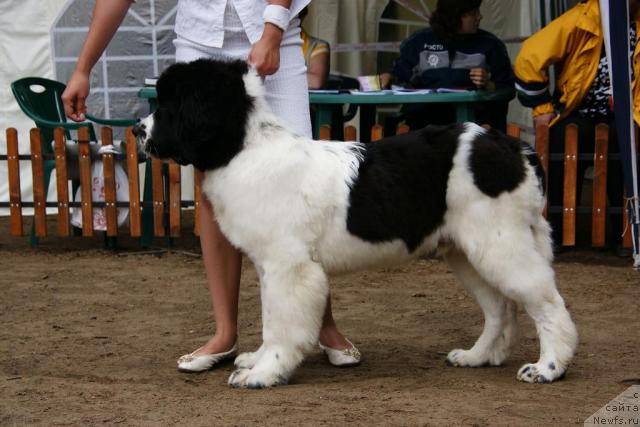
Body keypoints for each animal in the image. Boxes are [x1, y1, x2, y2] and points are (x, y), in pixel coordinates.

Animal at [138, 58, 576, 390]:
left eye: (168, 106)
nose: (138, 129)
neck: (244, 147)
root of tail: (515, 148)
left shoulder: (289, 267)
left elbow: (281, 324)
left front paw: (265, 372)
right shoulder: (269, 266)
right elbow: (269, 317)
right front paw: (257, 360)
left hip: (501, 245)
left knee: (548, 304)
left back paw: (548, 368)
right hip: (468, 252)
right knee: (499, 308)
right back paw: (477, 356)